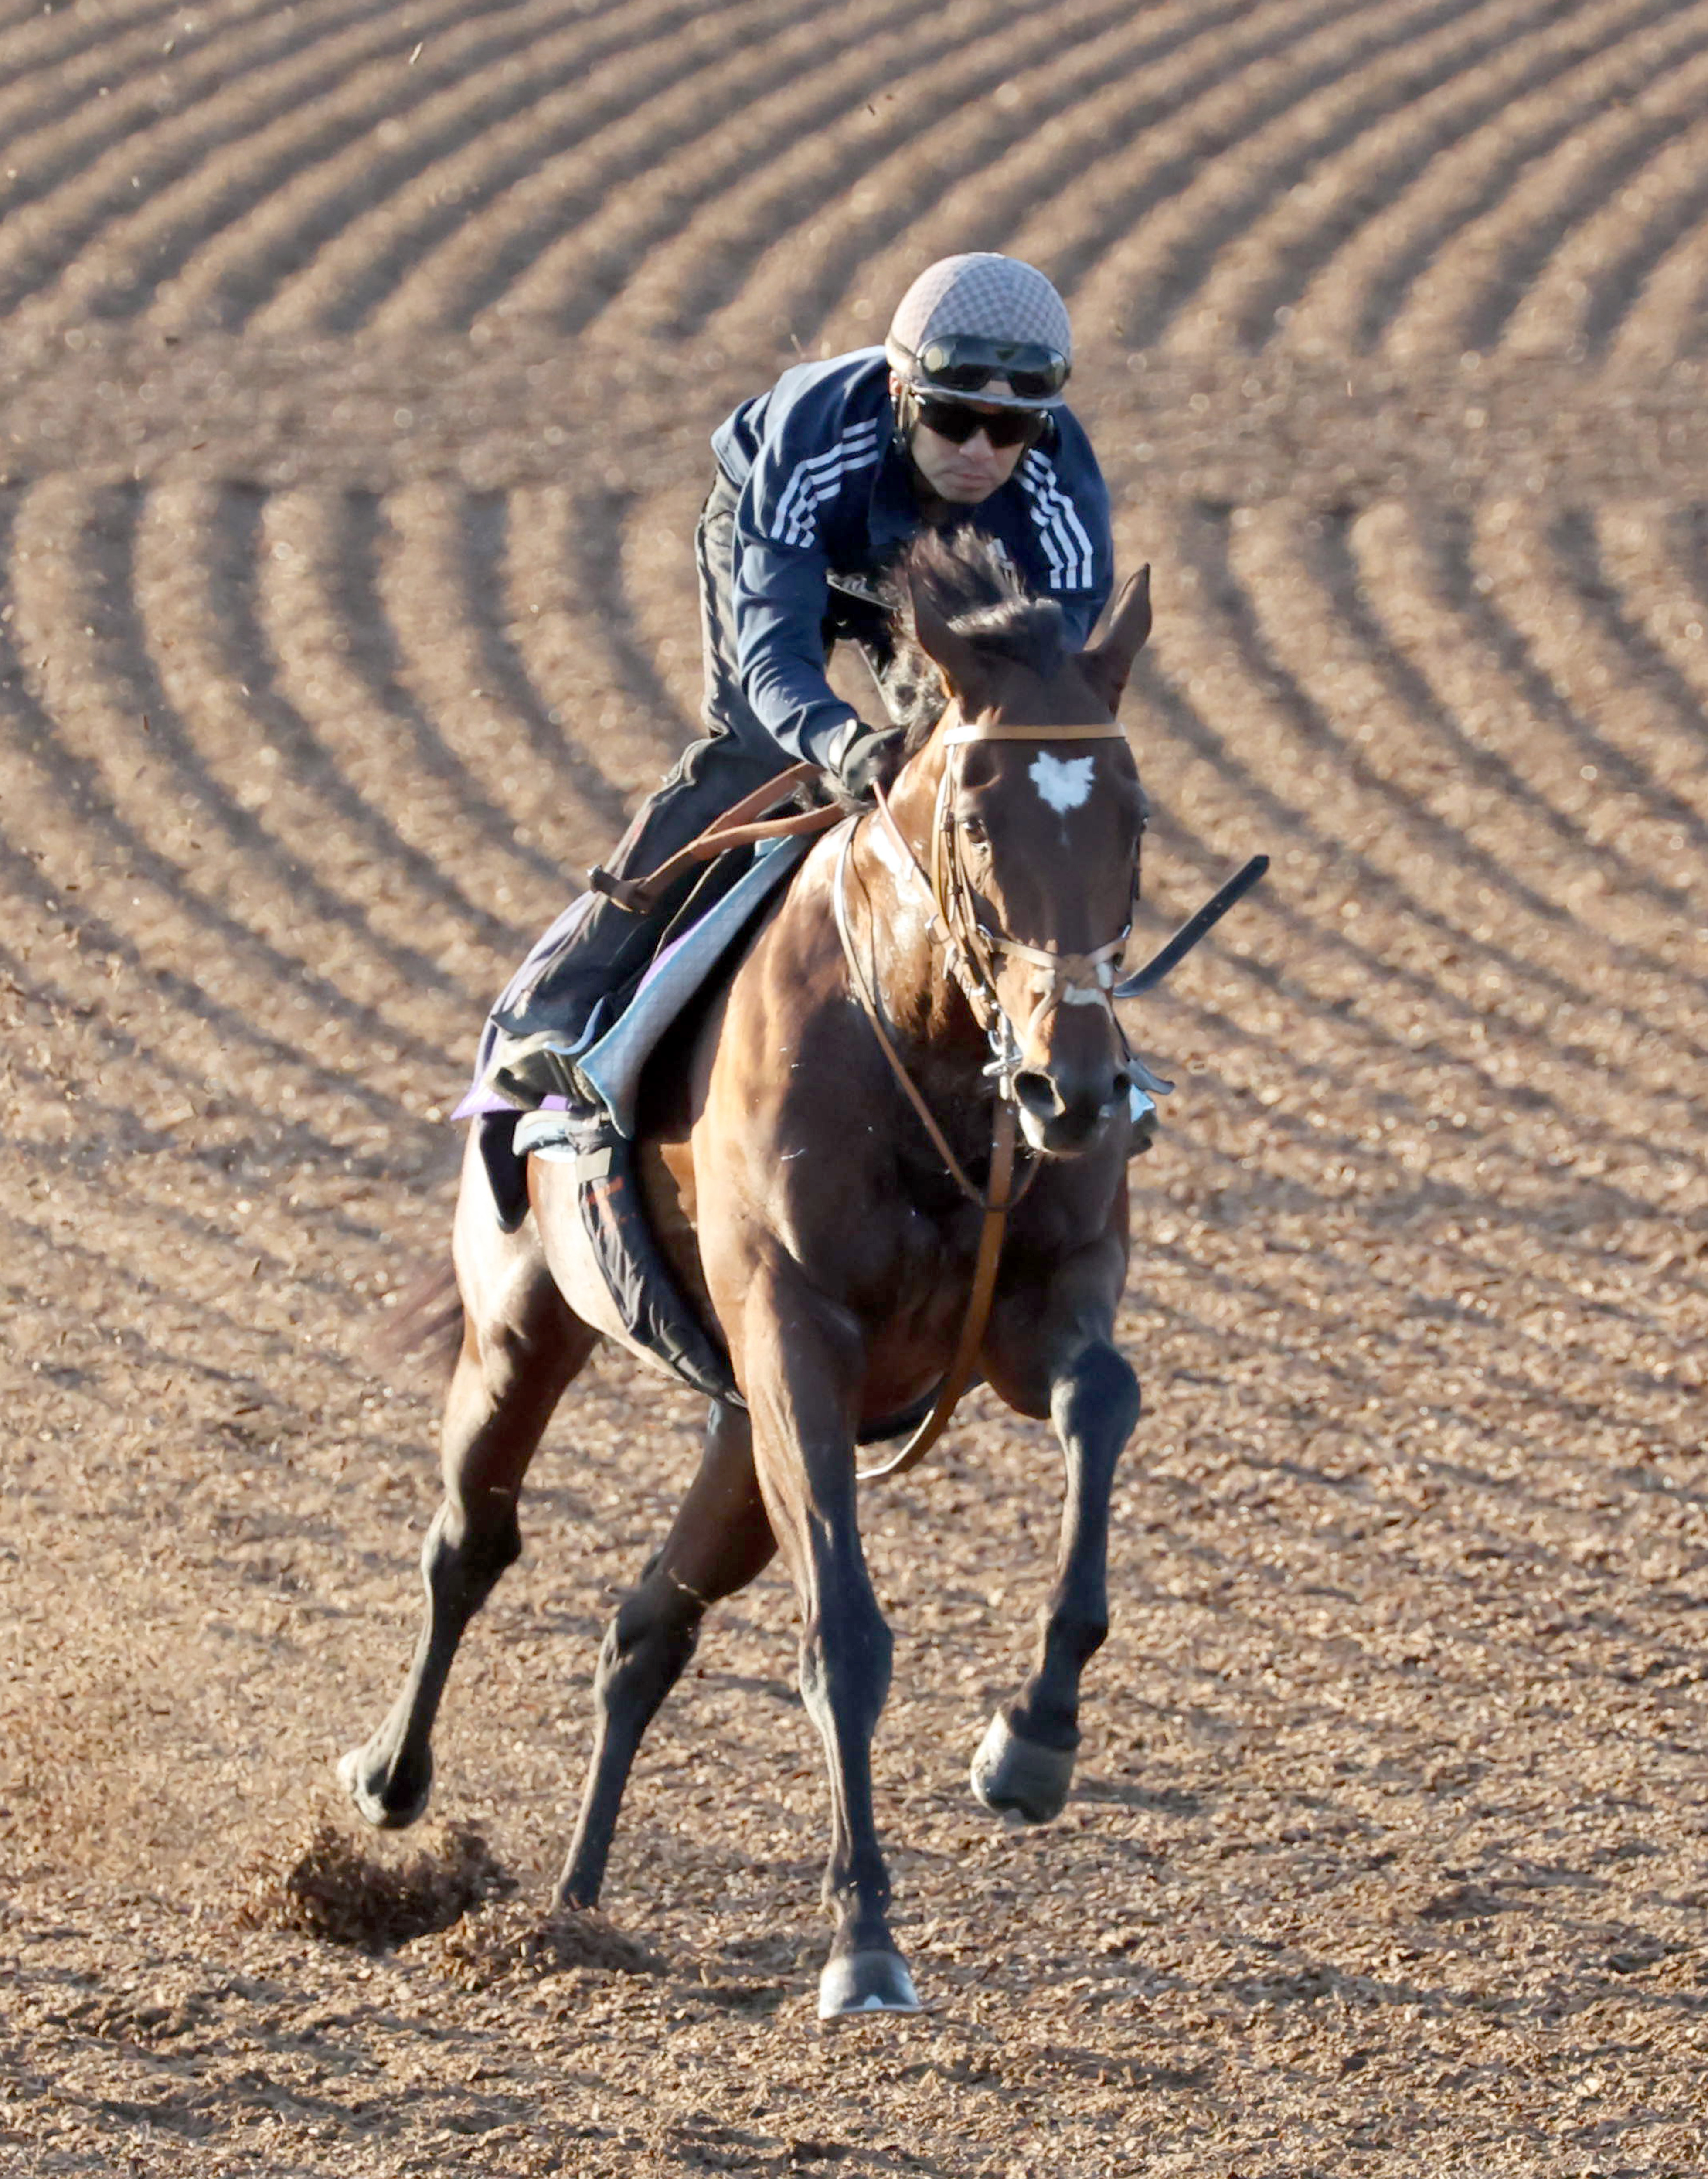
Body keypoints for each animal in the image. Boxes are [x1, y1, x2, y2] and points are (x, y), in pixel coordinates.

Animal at [342, 531, 1150, 2022]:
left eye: (1130, 813)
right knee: (470, 1537)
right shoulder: (796, 1335)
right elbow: (844, 1633)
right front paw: (864, 1939)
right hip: (527, 1319)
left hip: (737, 1425)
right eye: (976, 819)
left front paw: (1031, 1738)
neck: (935, 1064)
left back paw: (576, 1900)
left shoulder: (1029, 1309)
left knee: (644, 1626)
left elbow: (1104, 1403)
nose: (1074, 1086)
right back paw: (388, 1779)